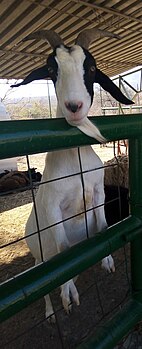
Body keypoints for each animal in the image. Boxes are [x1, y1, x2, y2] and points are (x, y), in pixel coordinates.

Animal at [11, 27, 133, 320]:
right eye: (50, 68)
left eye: (91, 67)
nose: (74, 106)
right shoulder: (54, 206)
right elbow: (64, 253)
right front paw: (68, 296)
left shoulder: (98, 193)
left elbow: (103, 227)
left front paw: (107, 262)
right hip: (40, 257)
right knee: (45, 283)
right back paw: (51, 312)